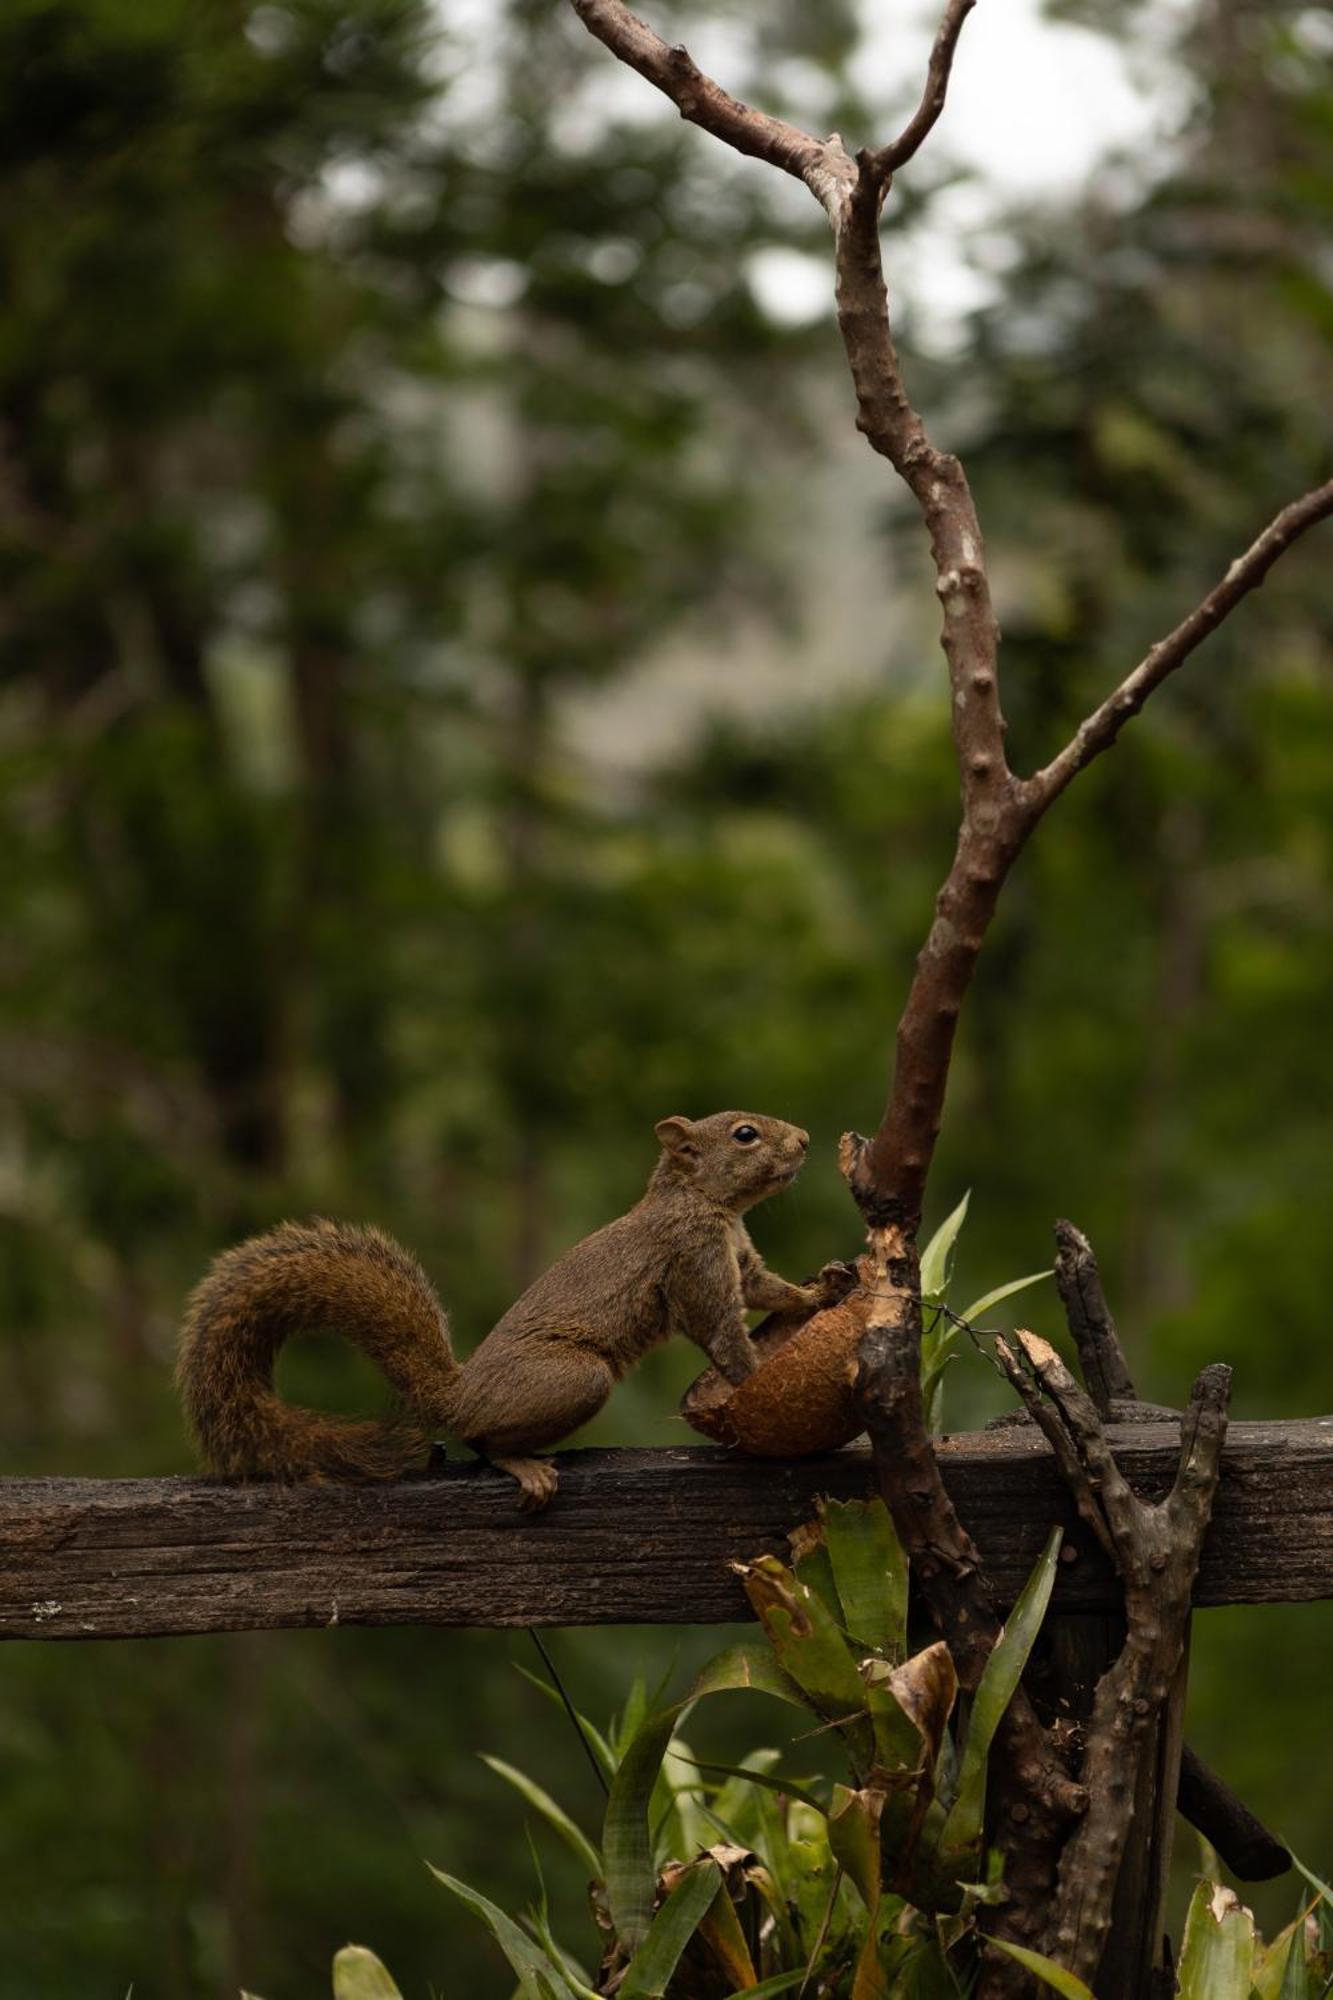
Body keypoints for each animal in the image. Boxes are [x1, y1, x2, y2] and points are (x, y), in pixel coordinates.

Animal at [179, 1112, 852, 1504]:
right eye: (745, 1135)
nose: (806, 1140)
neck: (708, 1204)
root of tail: (455, 1395)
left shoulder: (740, 1262)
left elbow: (768, 1289)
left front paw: (820, 1292)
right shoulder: (693, 1260)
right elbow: (721, 1332)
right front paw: (756, 1383)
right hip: (573, 1378)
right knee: (484, 1443)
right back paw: (523, 1465)